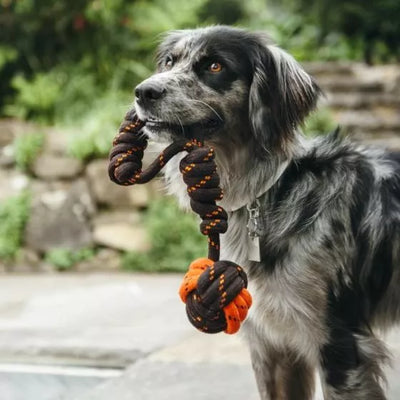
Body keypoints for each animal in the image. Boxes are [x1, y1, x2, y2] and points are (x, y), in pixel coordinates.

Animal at [133, 25, 398, 400]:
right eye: (169, 62)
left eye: (214, 66)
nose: (143, 91)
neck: (273, 192)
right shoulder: (273, 346)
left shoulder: (340, 343)